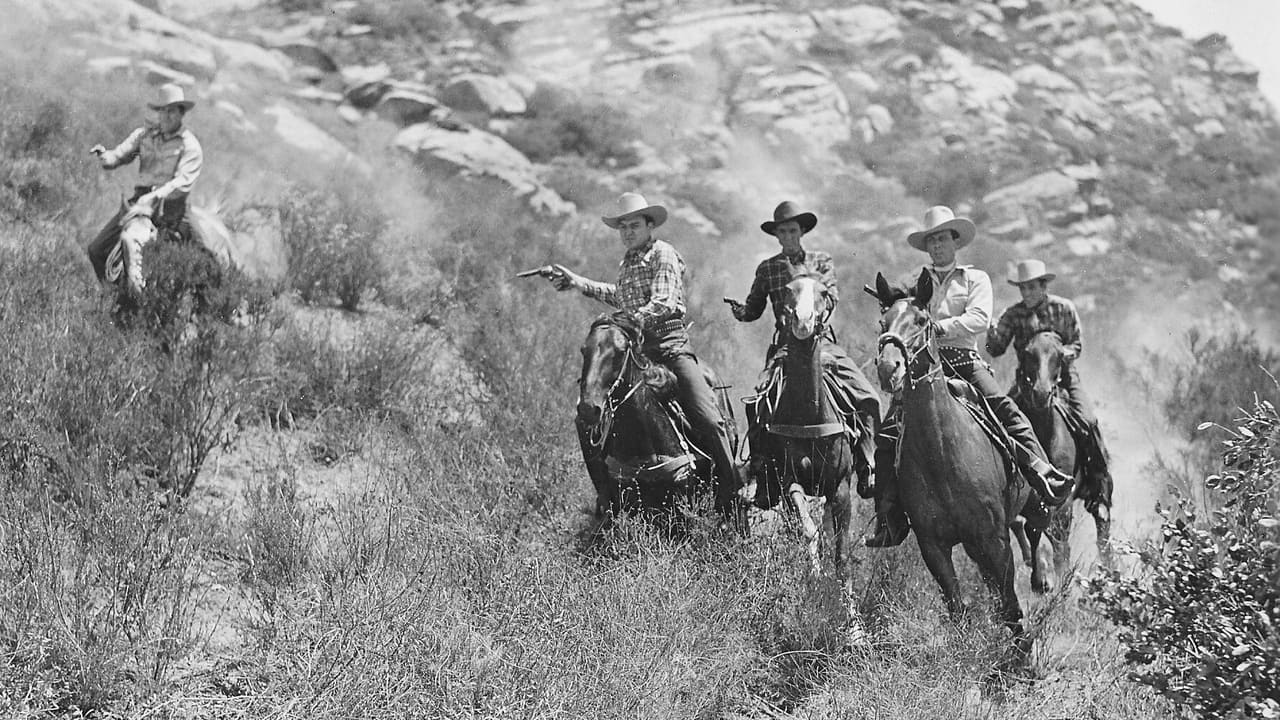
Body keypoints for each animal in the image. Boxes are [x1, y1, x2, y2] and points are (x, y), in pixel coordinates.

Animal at [757, 271, 860, 586]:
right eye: (788, 289)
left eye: (824, 292)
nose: (803, 320)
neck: (810, 417)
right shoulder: (790, 482)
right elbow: (808, 530)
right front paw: (814, 578)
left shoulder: (840, 486)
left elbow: (841, 552)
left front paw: (847, 599)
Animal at [1008, 330, 1111, 584]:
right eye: (1028, 353)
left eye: (1059, 357)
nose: (1041, 393)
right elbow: (1023, 524)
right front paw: (1038, 572)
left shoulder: (1062, 501)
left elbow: (1044, 532)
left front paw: (1043, 580)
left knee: (1100, 528)